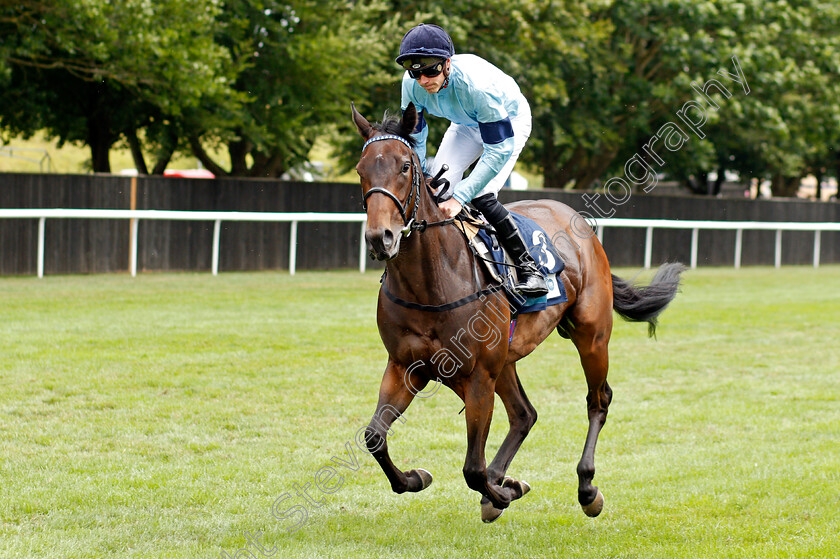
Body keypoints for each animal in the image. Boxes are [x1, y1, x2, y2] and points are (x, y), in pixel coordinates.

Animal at [352, 103, 684, 524]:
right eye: (361, 169)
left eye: (405, 167)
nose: (381, 238)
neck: (432, 281)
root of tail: (579, 223)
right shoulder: (405, 367)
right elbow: (374, 437)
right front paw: (417, 478)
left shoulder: (478, 375)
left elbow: (472, 469)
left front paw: (503, 491)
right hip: (505, 359)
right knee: (525, 414)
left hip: (591, 336)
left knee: (598, 400)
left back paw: (586, 487)